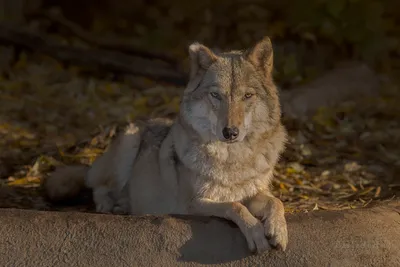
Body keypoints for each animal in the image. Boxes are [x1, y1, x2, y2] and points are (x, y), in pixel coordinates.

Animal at [43, 36, 288, 254]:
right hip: (128, 143)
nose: (230, 132)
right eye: (216, 95)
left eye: (247, 96)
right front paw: (256, 232)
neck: (233, 159)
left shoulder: (255, 191)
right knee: (98, 186)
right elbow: (235, 206)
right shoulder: (191, 204)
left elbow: (275, 201)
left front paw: (278, 229)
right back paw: (110, 205)